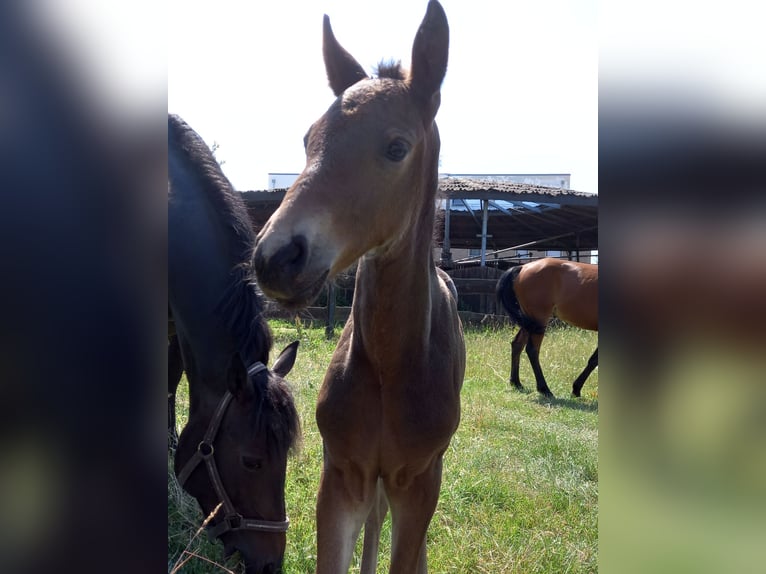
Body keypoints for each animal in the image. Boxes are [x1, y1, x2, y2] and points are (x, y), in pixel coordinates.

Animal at [254, 2, 468, 572]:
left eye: (396, 147)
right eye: (309, 140)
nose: (275, 257)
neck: (392, 364)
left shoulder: (418, 481)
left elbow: (408, 550)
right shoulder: (343, 475)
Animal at [498, 260, 600, 400]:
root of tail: (522, 267)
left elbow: (594, 360)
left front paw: (576, 389)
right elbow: (594, 360)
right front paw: (576, 389)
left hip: (529, 322)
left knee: (517, 345)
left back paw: (516, 382)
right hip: (539, 320)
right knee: (532, 350)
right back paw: (544, 389)